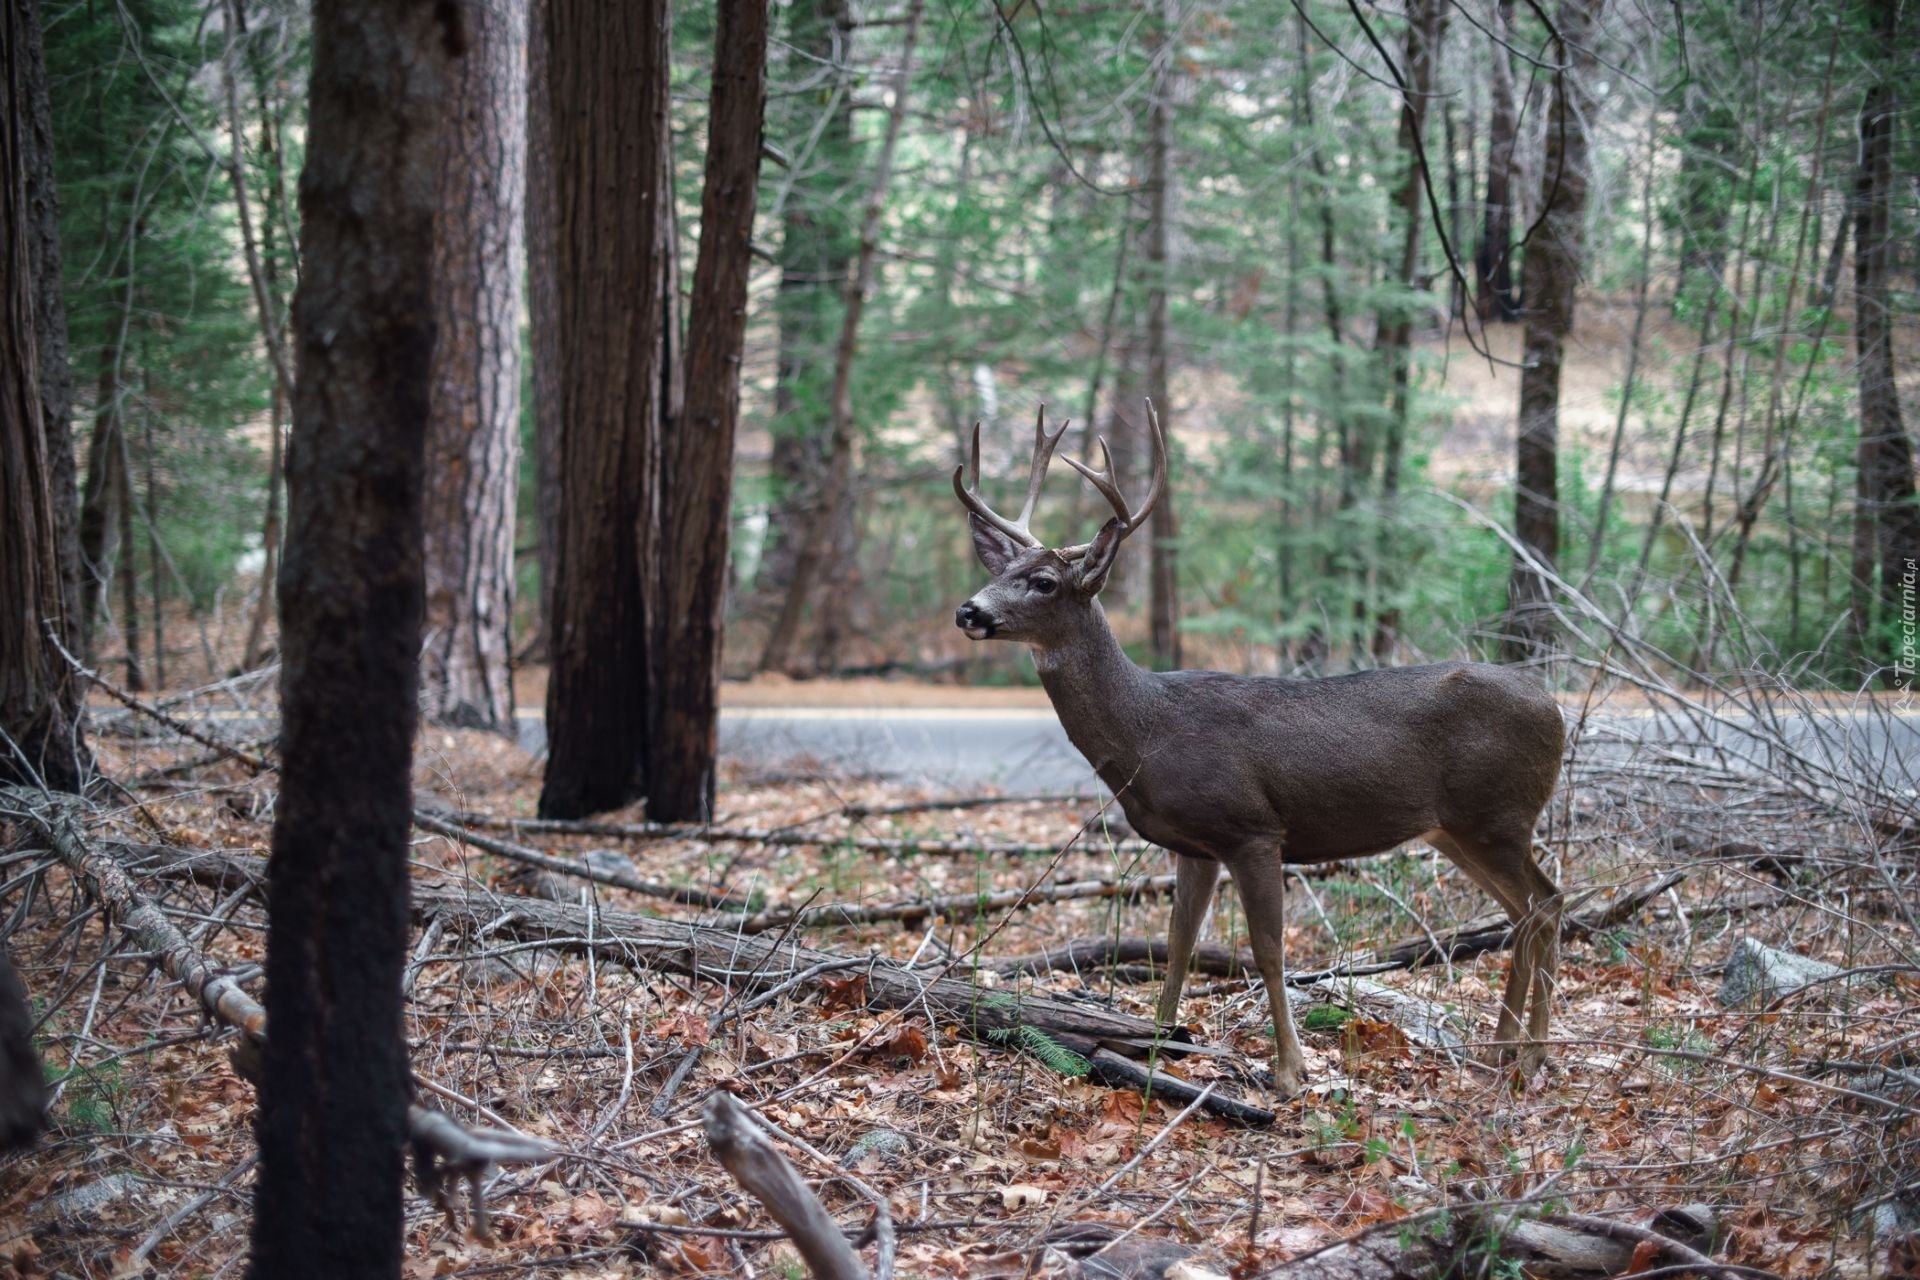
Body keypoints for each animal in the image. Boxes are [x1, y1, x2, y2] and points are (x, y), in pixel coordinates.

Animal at [952, 404, 1566, 1097]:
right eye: (996, 573)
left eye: (1044, 581)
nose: (969, 611)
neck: (1147, 729)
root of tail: (1558, 710)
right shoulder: (1195, 845)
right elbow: (1179, 944)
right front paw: (1158, 1044)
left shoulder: (1253, 829)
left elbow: (1267, 950)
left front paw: (1292, 1072)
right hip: (1457, 829)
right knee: (1529, 911)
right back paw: (1504, 1053)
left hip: (1497, 816)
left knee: (1546, 905)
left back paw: (1529, 1057)